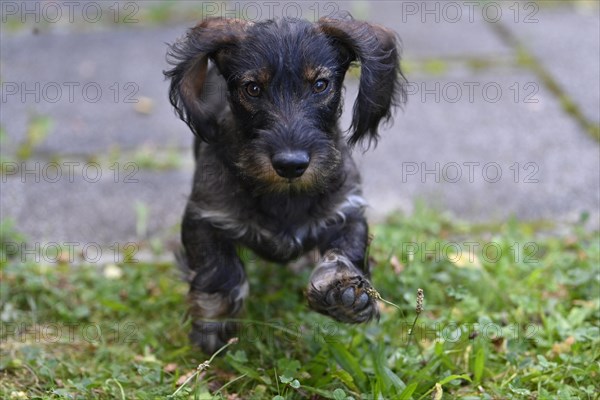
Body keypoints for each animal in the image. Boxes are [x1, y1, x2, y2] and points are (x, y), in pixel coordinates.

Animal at [166, 14, 406, 354]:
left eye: (320, 85)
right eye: (253, 88)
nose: (291, 164)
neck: (284, 195)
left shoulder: (347, 209)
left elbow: (347, 250)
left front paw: (342, 294)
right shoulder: (204, 216)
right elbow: (220, 271)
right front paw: (213, 325)